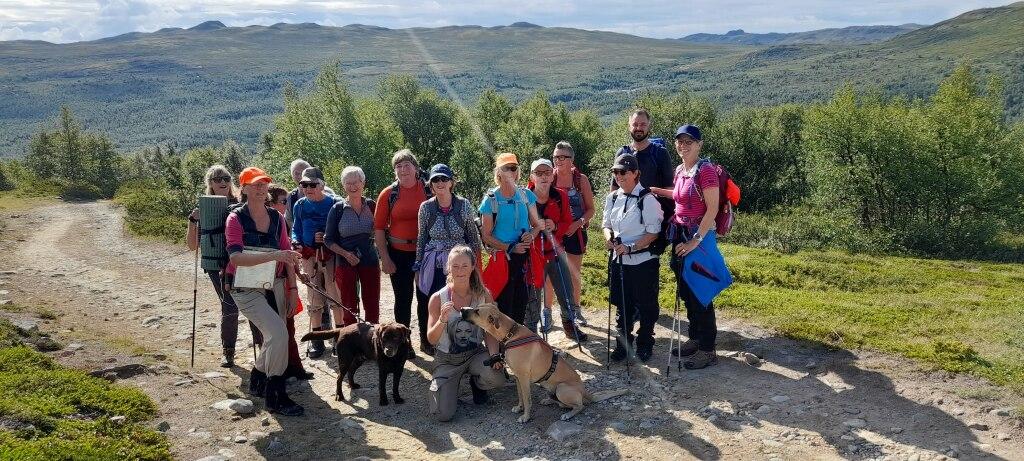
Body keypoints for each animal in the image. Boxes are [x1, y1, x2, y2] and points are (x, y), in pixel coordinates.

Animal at [462, 303, 622, 422]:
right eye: (475, 307)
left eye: (477, 311)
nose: (462, 309)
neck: (511, 334)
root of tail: (586, 392)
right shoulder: (518, 377)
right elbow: (520, 396)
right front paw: (519, 408)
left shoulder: (524, 378)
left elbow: (527, 399)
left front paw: (525, 417)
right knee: (562, 403)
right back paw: (549, 400)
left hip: (562, 388)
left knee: (580, 406)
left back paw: (567, 415)